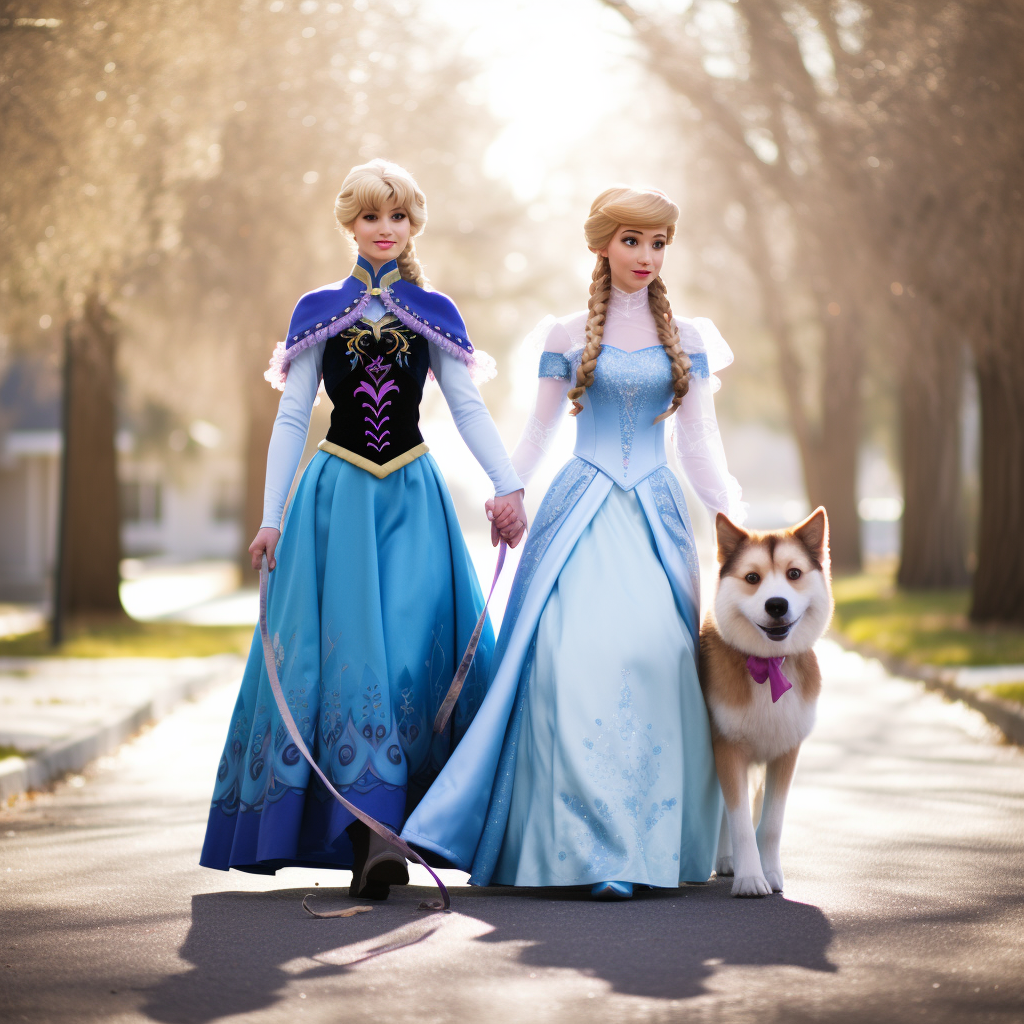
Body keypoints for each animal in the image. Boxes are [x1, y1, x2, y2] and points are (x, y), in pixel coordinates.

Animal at [700, 509, 835, 897]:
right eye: (752, 578)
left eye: (794, 574)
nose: (777, 604)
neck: (769, 665)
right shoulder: (726, 747)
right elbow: (740, 821)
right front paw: (750, 878)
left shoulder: (786, 751)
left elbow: (771, 822)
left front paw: (771, 872)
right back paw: (728, 860)